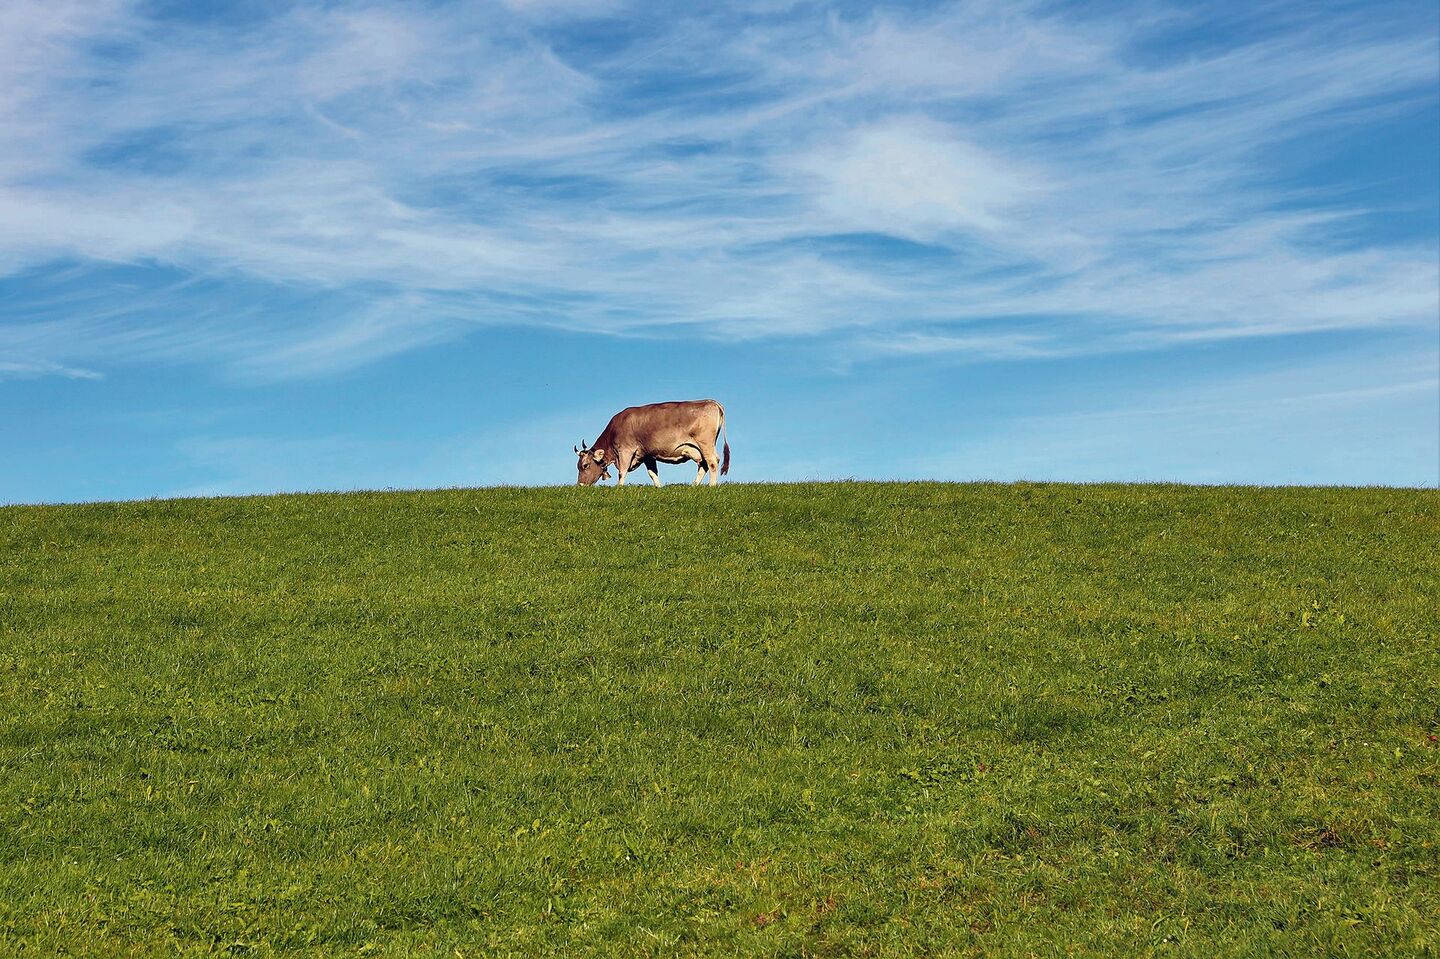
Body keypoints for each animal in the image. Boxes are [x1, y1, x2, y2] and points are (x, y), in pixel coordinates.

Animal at [575, 399, 730, 487]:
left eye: (585, 465)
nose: (580, 485)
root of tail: (711, 402)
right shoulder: (647, 455)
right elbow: (653, 473)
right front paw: (658, 488)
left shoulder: (626, 450)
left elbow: (622, 472)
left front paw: (619, 487)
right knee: (703, 465)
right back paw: (694, 485)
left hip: (705, 444)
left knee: (712, 462)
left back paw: (711, 486)